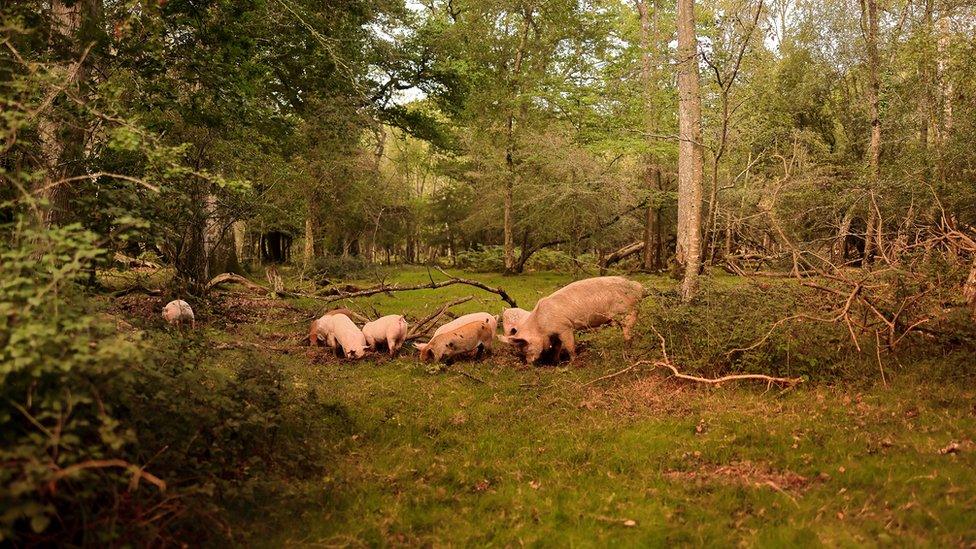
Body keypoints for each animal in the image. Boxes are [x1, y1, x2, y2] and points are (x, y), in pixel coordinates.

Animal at [500, 274, 644, 364]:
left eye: (525, 348)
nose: (529, 363)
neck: (539, 326)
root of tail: (639, 287)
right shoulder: (555, 333)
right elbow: (557, 347)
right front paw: (556, 361)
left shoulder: (565, 327)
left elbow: (569, 345)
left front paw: (572, 362)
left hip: (628, 312)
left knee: (629, 333)